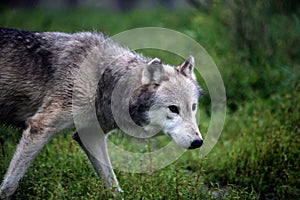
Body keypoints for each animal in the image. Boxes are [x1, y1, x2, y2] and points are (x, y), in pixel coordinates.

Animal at [0, 27, 204, 199]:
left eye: (193, 107)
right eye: (173, 109)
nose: (198, 142)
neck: (103, 82)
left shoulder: (91, 136)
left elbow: (112, 183)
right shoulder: (40, 126)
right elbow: (10, 184)